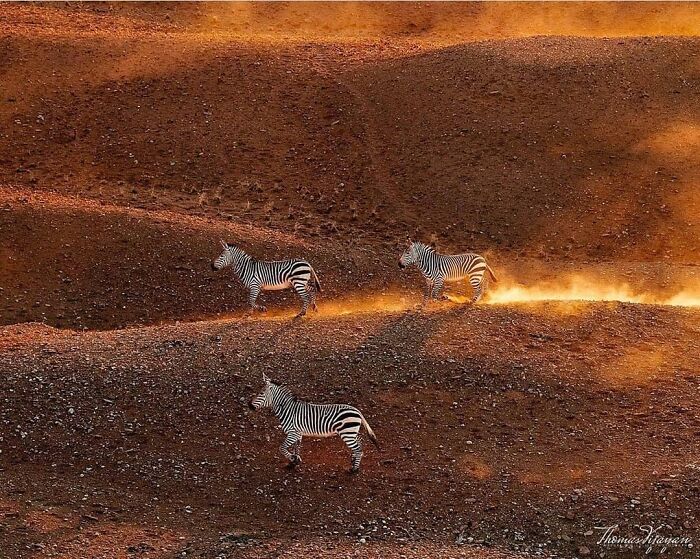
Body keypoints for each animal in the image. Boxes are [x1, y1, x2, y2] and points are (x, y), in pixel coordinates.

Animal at [249, 374, 379, 473]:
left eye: (261, 393)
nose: (249, 406)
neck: (288, 409)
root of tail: (357, 410)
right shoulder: (297, 433)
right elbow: (296, 447)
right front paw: (295, 461)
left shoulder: (292, 433)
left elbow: (282, 448)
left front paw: (292, 459)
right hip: (351, 432)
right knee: (360, 443)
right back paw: (353, 460)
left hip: (347, 433)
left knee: (358, 448)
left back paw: (354, 469)